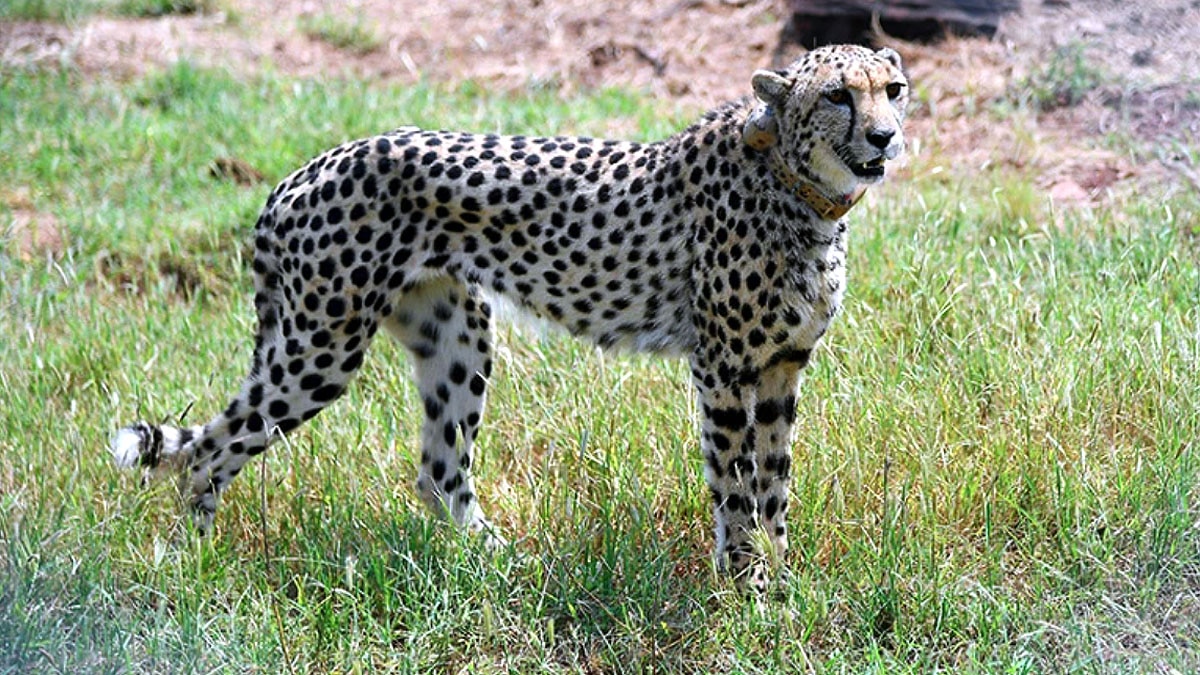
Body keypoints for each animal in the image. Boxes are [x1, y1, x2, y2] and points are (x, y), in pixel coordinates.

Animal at [109, 44, 909, 590]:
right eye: (839, 96)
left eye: (893, 90)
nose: (885, 137)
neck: (800, 188)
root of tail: (302, 171)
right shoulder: (723, 368)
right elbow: (736, 485)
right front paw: (748, 584)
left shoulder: (780, 367)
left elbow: (774, 483)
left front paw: (783, 578)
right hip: (321, 347)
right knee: (211, 449)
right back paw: (193, 559)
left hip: (456, 337)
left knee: (439, 471)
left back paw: (501, 563)